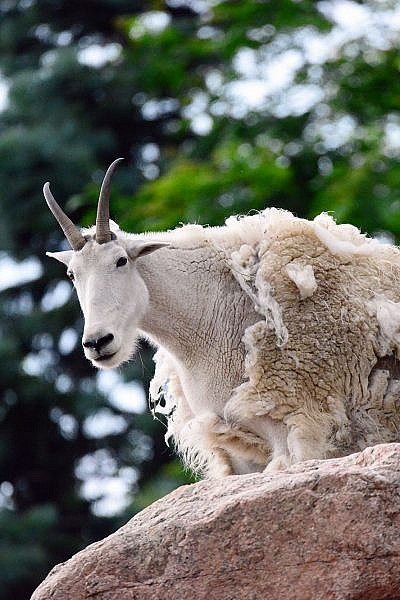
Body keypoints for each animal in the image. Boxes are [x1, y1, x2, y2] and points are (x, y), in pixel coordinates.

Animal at [45, 157, 400, 476]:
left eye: (120, 260)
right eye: (72, 274)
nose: (97, 342)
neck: (208, 319)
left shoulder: (299, 424)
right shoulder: (237, 450)